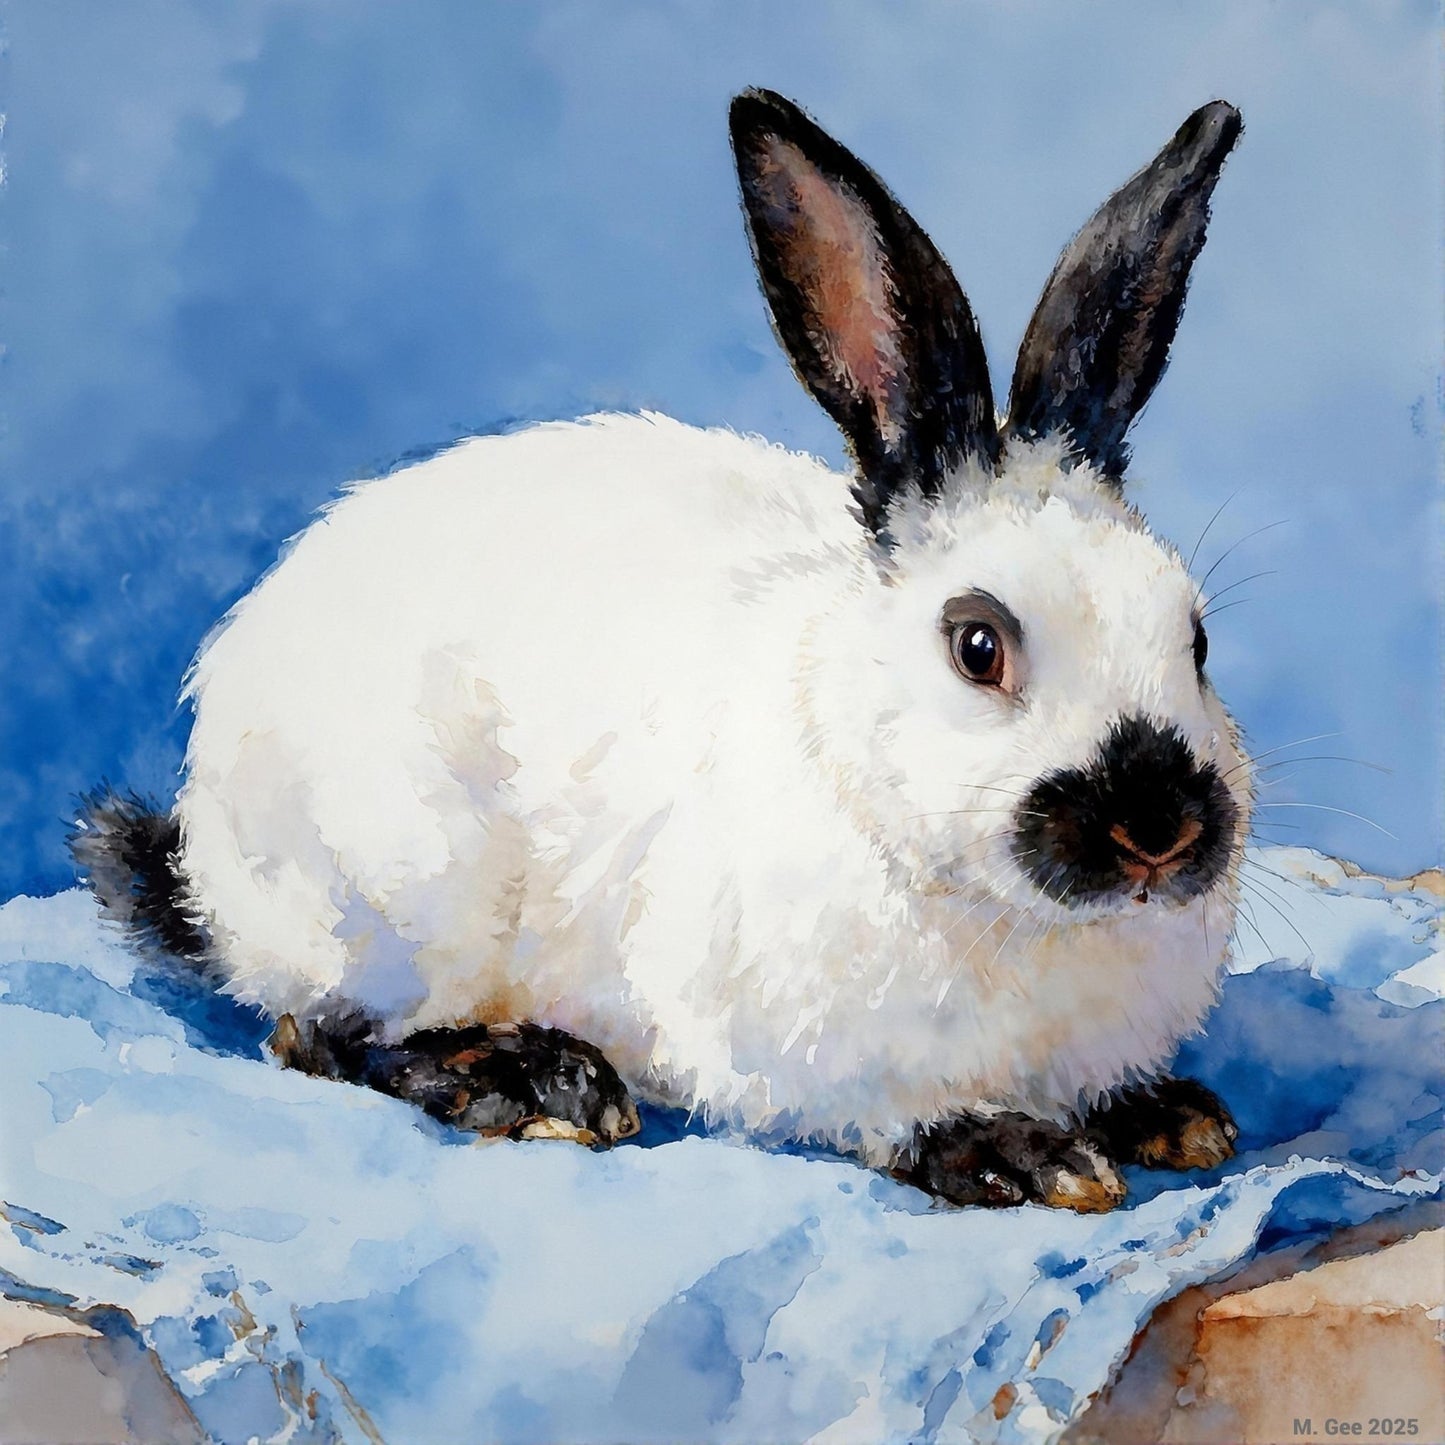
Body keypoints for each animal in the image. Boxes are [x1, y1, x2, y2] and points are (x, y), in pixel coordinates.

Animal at [74, 89, 1251, 1212]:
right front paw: (1019, 1153)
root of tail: (209, 871)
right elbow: (889, 1115)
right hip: (394, 891)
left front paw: (1169, 1116)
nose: (1155, 826)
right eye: (976, 644)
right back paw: (538, 1082)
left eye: (1193, 636)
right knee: (318, 1035)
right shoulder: (791, 1049)